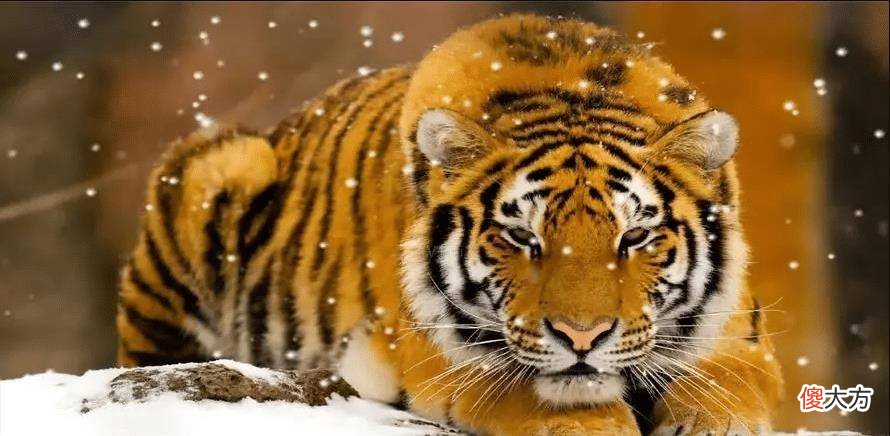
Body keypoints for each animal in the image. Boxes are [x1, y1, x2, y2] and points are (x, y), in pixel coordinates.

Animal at [116, 14, 784, 436]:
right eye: (522, 237)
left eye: (634, 236)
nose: (583, 338)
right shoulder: (442, 349)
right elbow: (538, 392)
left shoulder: (739, 333)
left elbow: (728, 384)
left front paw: (707, 421)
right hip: (216, 168)